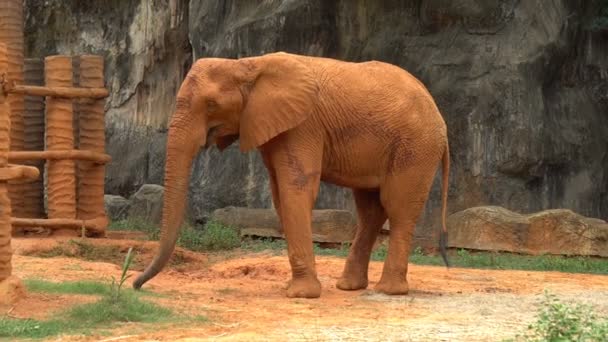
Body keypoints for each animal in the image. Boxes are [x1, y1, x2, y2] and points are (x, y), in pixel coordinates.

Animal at [133, 51, 448, 300]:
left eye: (211, 105)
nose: (136, 285)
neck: (246, 64)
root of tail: (439, 116)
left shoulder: (303, 124)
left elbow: (295, 187)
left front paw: (301, 295)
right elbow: (278, 194)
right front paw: (295, 289)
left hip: (415, 146)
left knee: (398, 207)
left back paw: (389, 290)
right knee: (370, 209)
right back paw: (349, 287)